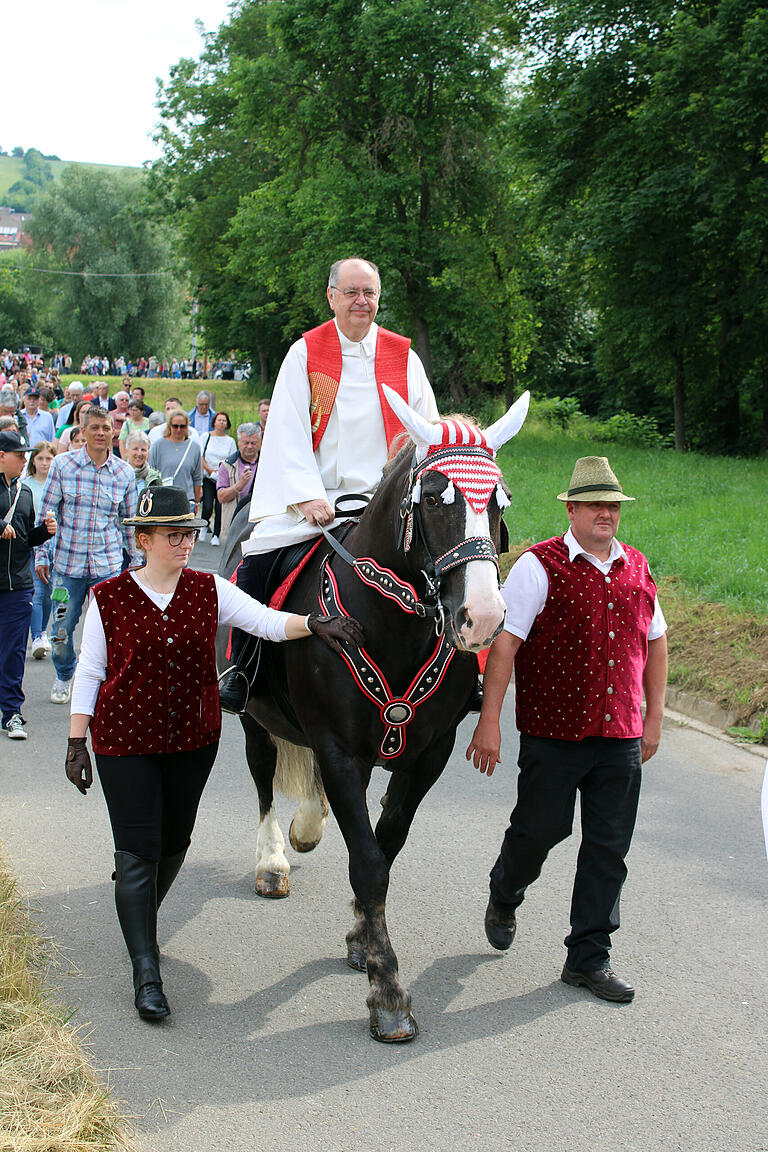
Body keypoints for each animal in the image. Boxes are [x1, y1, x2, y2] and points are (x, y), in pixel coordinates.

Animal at [216, 389, 529, 1046]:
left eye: (501, 501)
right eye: (434, 497)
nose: (484, 616)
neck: (391, 624)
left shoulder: (428, 754)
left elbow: (385, 845)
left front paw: (364, 938)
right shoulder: (340, 750)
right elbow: (367, 863)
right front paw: (388, 994)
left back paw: (308, 828)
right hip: (254, 719)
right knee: (262, 780)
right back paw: (274, 859)